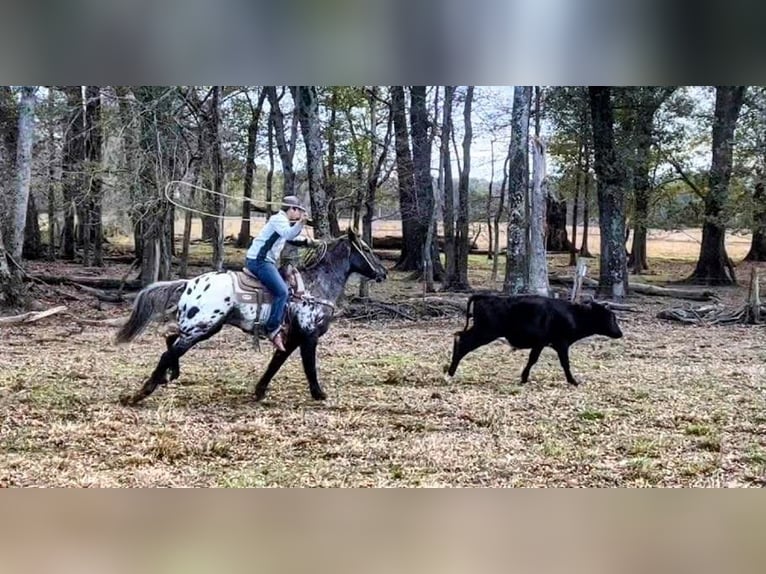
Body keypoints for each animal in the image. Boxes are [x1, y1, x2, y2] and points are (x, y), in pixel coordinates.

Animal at [118, 227, 390, 408]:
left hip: (203, 327)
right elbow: (309, 366)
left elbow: (276, 363)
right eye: (366, 249)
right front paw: (319, 394)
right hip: (201, 327)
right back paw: (139, 394)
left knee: (170, 339)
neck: (314, 288)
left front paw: (259, 391)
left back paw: (169, 375)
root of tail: (188, 283)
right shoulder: (308, 335)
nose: (383, 273)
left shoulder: (291, 337)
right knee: (169, 351)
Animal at [450, 296, 624, 388]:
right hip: (485, 333)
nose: (620, 333)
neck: (573, 314)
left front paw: (523, 378)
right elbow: (563, 363)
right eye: (611, 317)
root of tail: (484, 296)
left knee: (458, 336)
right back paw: (451, 372)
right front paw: (573, 381)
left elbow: (532, 360)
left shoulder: (541, 344)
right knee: (463, 343)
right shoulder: (560, 343)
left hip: (480, 331)